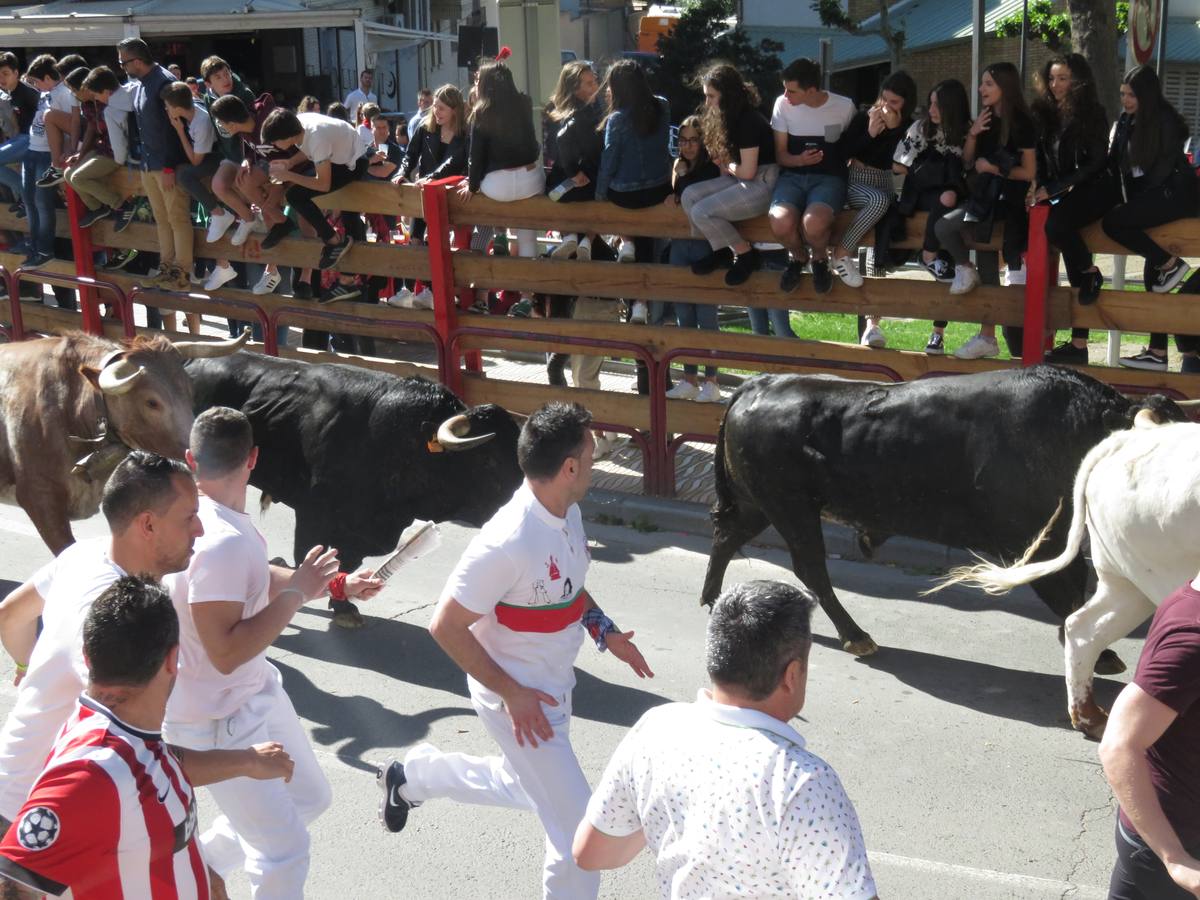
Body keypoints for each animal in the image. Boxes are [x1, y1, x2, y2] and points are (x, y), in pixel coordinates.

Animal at [700, 362, 1185, 667]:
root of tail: (761, 383)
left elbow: (1075, 590)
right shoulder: (1039, 542)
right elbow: (1067, 595)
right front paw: (1100, 653)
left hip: (759, 505)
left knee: (726, 537)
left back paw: (712, 601)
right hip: (790, 509)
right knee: (809, 566)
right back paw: (857, 636)